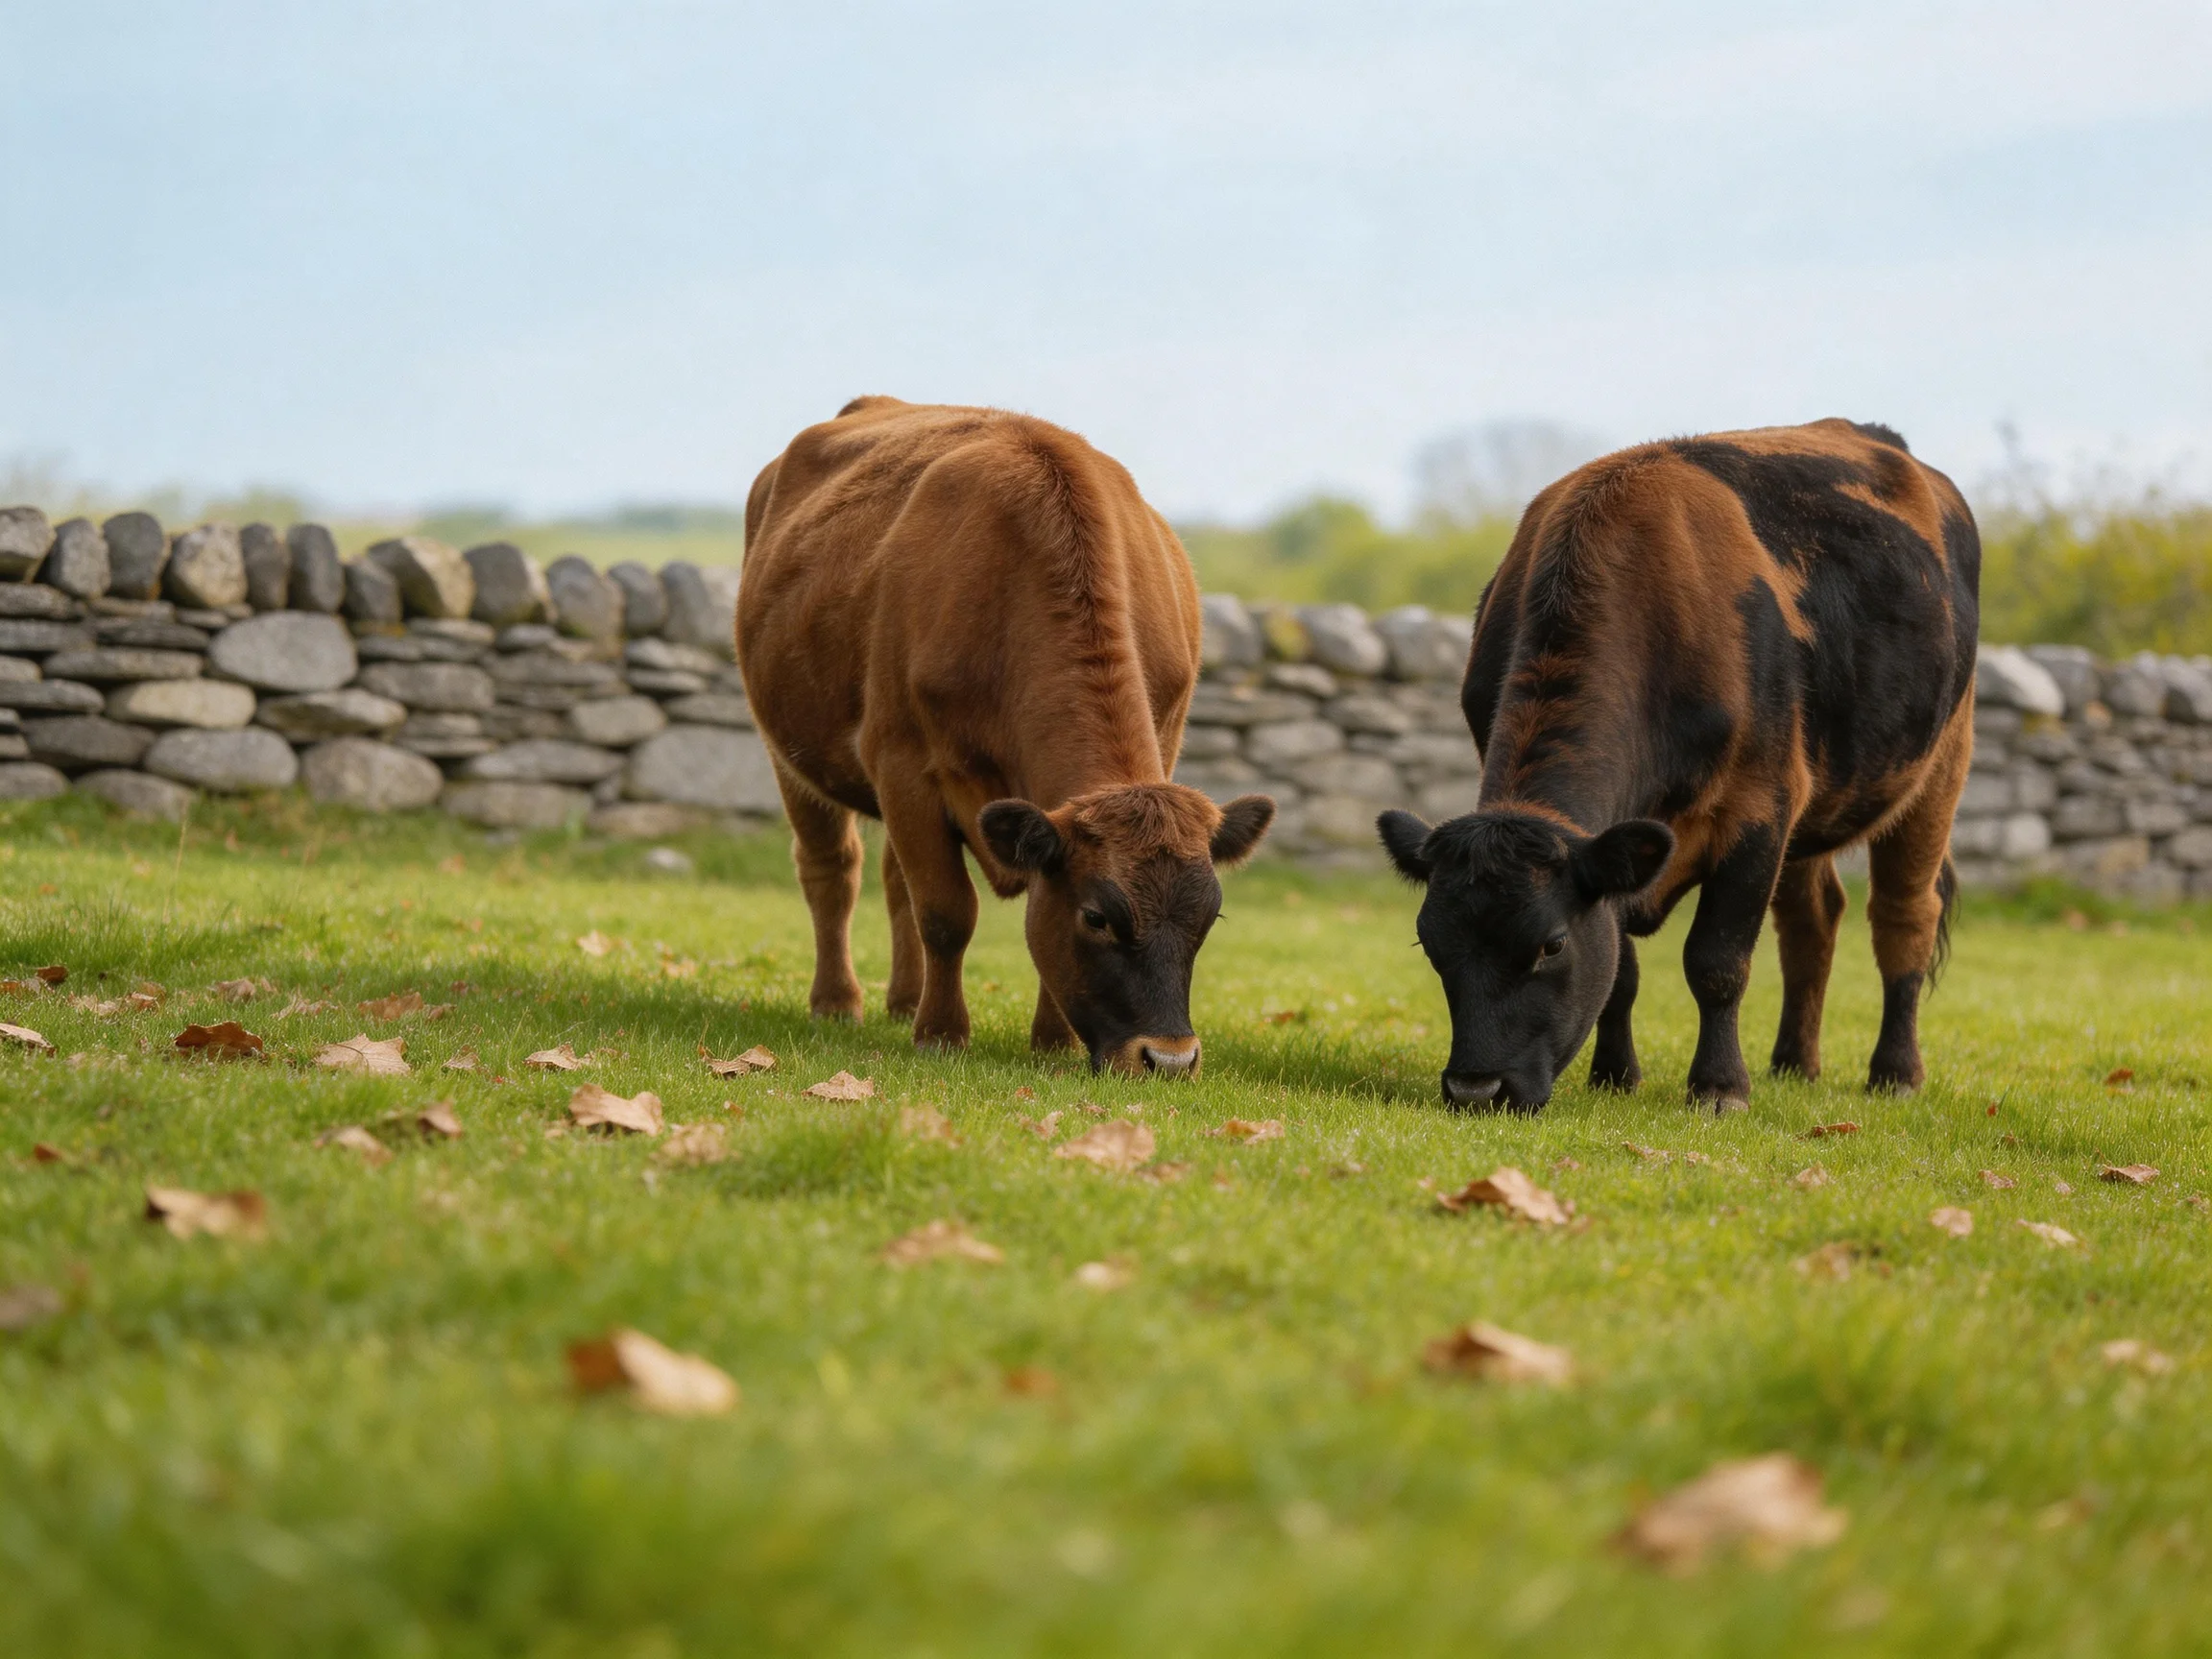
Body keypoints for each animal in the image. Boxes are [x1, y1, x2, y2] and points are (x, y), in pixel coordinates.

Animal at [737, 396, 1274, 1076]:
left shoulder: (1164, 740)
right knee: (832, 871)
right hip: (791, 753)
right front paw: (941, 1034)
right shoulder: (903, 764)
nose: (1170, 1058)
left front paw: (1052, 1042)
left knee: (892, 878)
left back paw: (902, 1000)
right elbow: (945, 912)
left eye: (1210, 914)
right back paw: (838, 1002)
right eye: (1097, 917)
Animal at [1377, 419, 1979, 1112]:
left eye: (1551, 944)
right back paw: (1793, 1063)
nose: (1476, 1089)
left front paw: (1719, 1087)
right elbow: (1621, 969)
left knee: (1904, 918)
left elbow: (1717, 961)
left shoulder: (1761, 806)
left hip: (1940, 764)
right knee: (1813, 919)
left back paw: (1895, 1072)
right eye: (1430, 943)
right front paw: (1615, 1074)